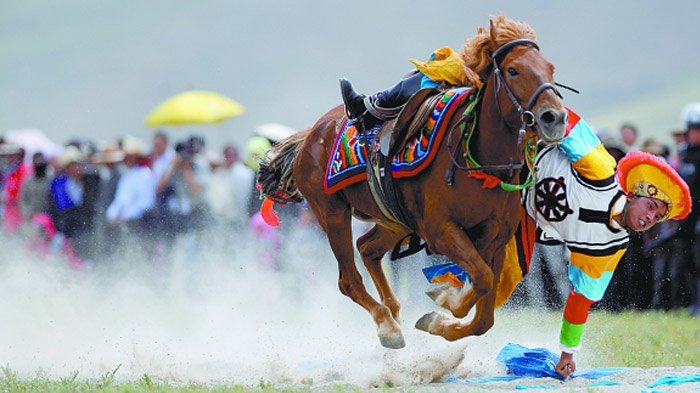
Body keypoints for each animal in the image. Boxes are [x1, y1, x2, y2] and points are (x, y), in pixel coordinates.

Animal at [258, 15, 568, 348]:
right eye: (513, 70)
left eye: (551, 69)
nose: (554, 118)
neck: (479, 162)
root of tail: (310, 135)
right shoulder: (440, 231)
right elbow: (480, 282)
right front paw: (446, 300)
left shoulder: (494, 238)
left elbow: (483, 311)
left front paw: (443, 313)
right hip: (332, 213)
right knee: (348, 280)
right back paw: (388, 326)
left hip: (395, 221)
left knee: (368, 249)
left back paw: (393, 311)